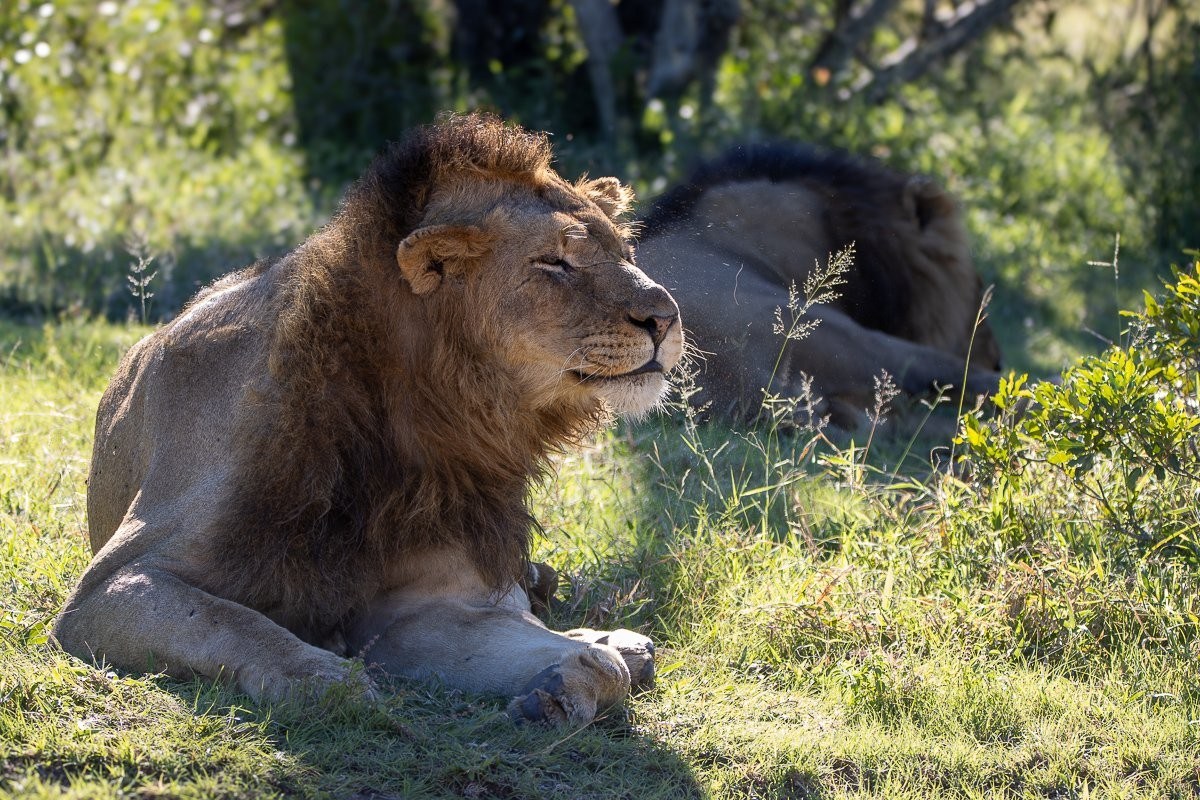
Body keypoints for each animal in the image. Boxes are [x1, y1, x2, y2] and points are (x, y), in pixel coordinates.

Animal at [53, 113, 682, 727]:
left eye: (626, 256)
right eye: (554, 262)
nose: (666, 316)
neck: (423, 408)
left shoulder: (426, 605)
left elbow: (595, 668)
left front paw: (559, 685)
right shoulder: (112, 586)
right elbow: (231, 622)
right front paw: (324, 679)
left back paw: (616, 641)